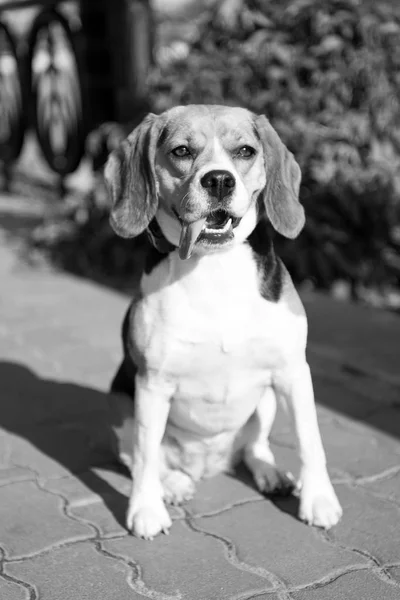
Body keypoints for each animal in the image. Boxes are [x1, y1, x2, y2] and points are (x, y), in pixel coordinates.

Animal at [104, 105, 342, 540]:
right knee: (143, 457)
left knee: (253, 446)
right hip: (122, 405)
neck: (214, 263)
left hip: (266, 399)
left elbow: (310, 439)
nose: (218, 179)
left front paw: (318, 499)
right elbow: (145, 456)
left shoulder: (293, 372)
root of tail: (209, 465)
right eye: (181, 151)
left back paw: (268, 472)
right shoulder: (152, 384)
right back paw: (172, 485)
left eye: (245, 150)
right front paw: (145, 509)